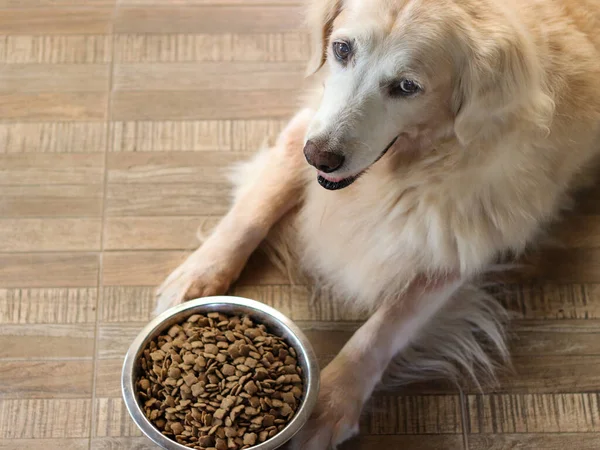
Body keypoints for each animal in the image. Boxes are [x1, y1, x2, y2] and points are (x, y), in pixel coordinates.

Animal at [156, 0, 600, 446]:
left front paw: (330, 402)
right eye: (341, 49)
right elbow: (254, 209)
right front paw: (198, 275)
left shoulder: (457, 244)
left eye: (407, 87)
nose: (319, 158)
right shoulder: (307, 123)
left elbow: (382, 328)